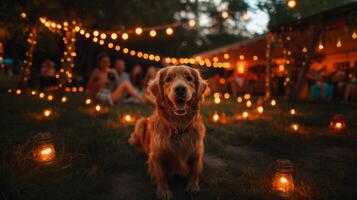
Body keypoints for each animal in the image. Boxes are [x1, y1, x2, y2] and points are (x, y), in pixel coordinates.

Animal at [129, 65, 207, 198]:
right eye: (168, 79)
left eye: (189, 78)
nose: (180, 89)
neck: (179, 128)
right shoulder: (156, 156)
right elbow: (161, 175)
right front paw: (164, 191)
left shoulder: (198, 152)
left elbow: (195, 170)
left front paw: (192, 186)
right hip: (141, 122)